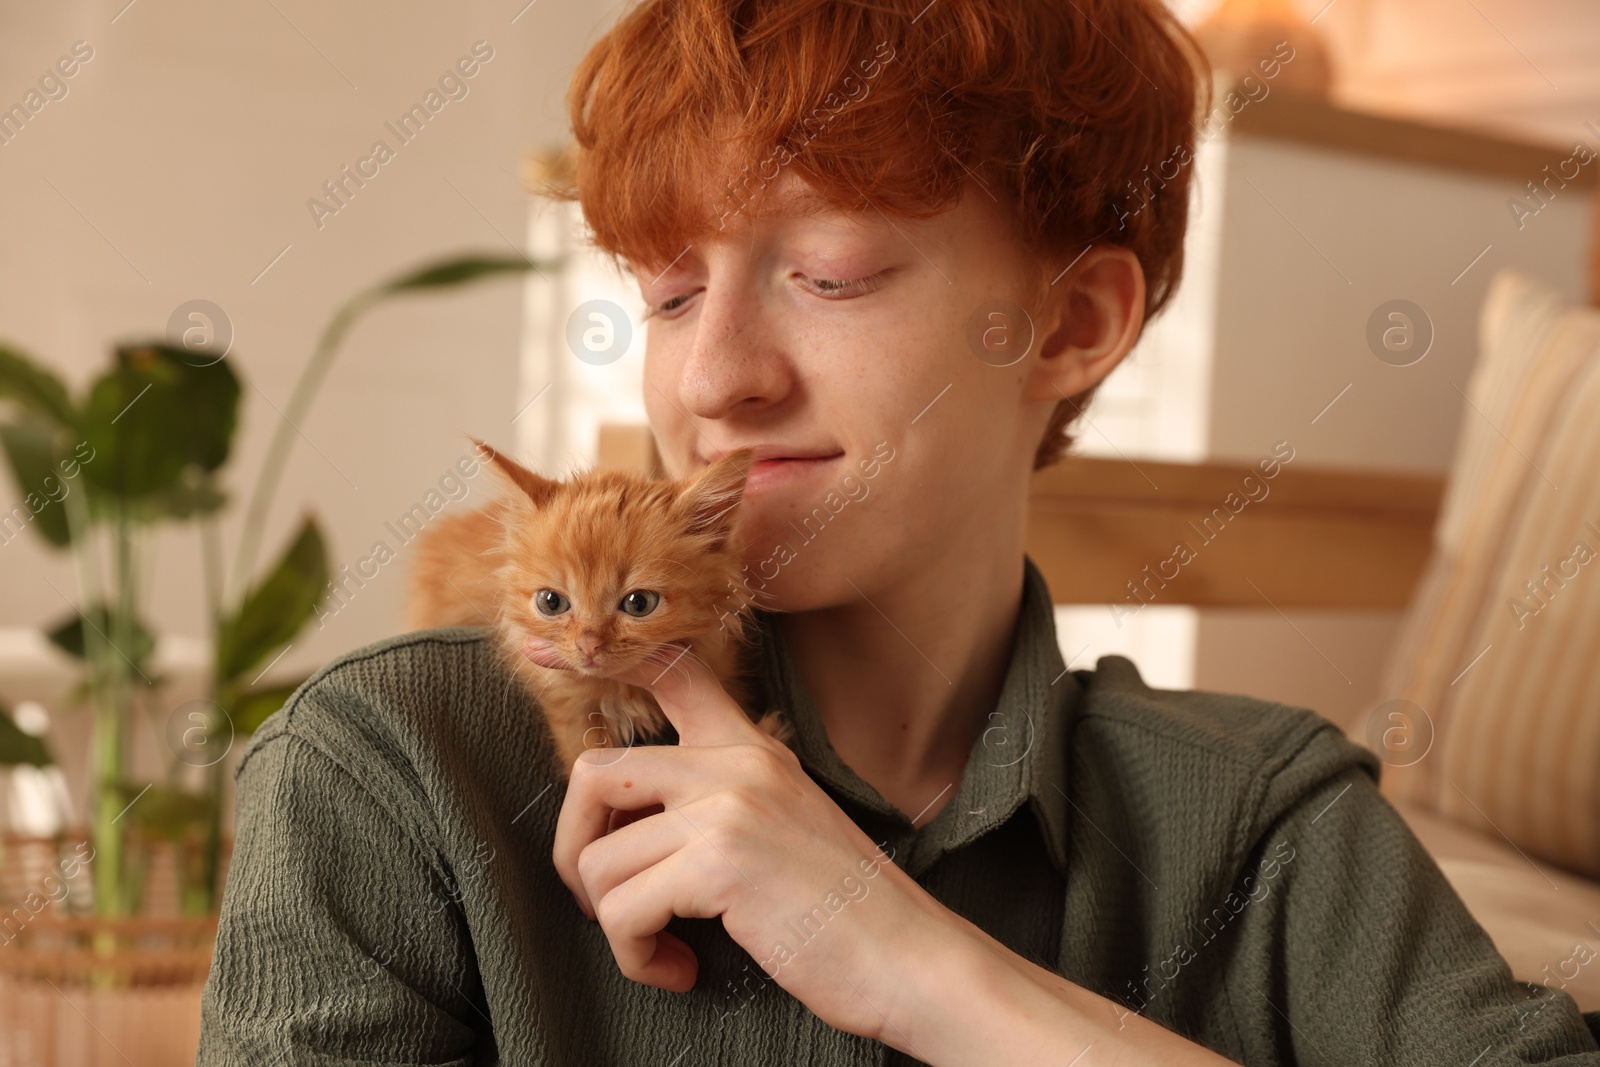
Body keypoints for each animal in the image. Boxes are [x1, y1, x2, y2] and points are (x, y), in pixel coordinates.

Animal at [406, 438, 793, 780]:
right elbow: (583, 757)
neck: (621, 690)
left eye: (639, 603)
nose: (589, 645)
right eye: (551, 602)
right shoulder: (567, 709)